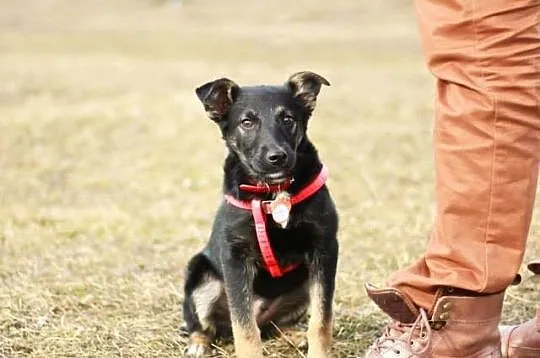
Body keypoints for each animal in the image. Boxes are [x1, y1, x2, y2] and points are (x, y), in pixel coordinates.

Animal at [184, 71, 340, 356]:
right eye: (247, 122)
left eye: (288, 119)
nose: (277, 157)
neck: (273, 192)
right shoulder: (235, 258)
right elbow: (244, 328)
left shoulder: (324, 249)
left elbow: (322, 319)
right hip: (201, 277)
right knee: (205, 325)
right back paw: (198, 344)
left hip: (302, 283)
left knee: (273, 326)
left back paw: (293, 335)